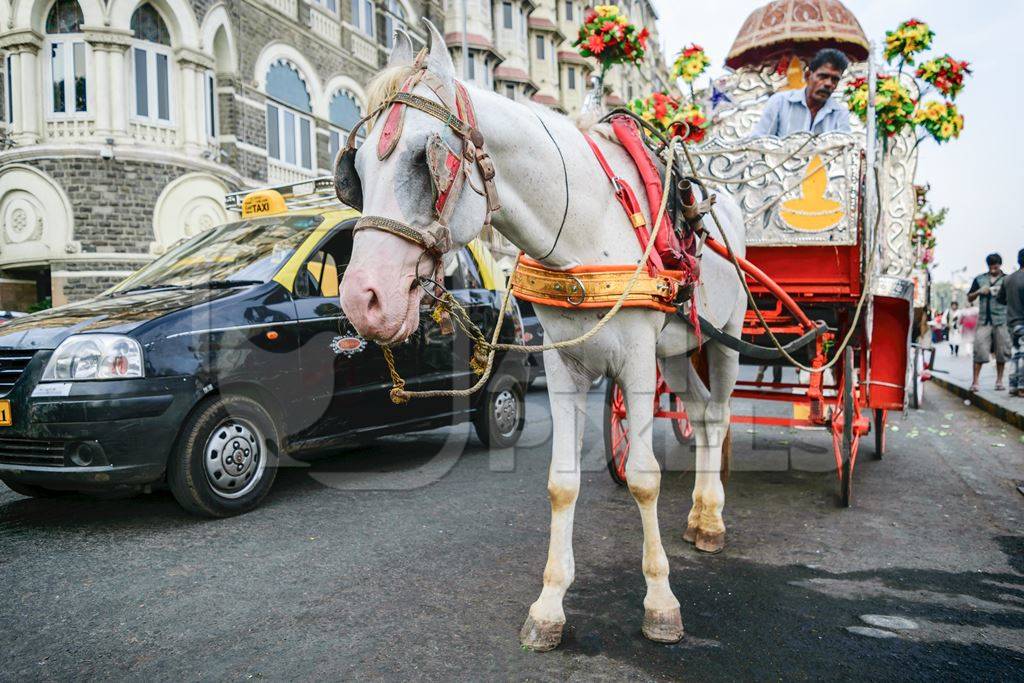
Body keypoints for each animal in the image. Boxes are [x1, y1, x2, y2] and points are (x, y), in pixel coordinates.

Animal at [339, 24, 749, 651]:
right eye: (356, 168)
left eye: (424, 159)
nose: (363, 297)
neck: (586, 226)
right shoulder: (564, 365)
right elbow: (561, 484)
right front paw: (550, 606)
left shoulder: (636, 362)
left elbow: (644, 478)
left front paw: (660, 603)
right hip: (678, 352)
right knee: (702, 415)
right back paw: (701, 515)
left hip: (725, 337)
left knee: (721, 414)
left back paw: (713, 520)